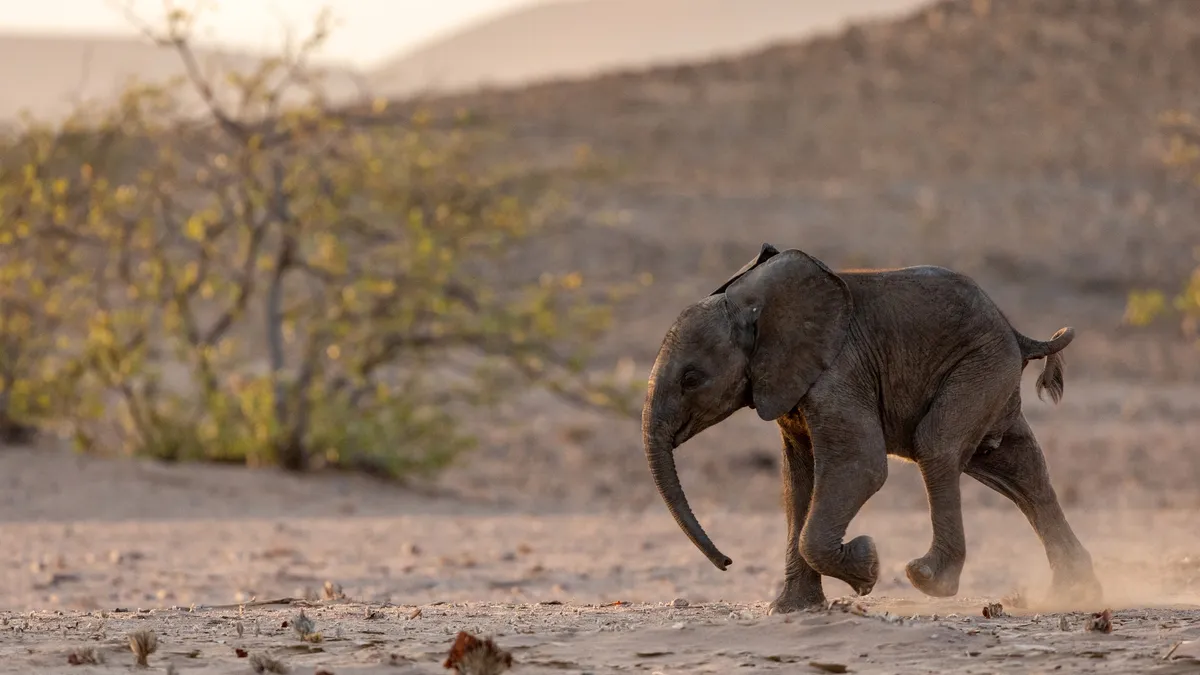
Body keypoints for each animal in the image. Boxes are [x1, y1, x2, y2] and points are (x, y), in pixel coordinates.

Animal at [641, 242, 1102, 614]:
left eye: (691, 379)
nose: (727, 562)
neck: (759, 307)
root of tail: (1019, 334)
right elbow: (797, 484)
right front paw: (791, 610)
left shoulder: (838, 374)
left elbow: (860, 466)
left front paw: (867, 567)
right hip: (992, 373)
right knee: (1021, 471)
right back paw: (1073, 595)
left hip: (980, 366)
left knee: (937, 445)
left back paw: (928, 578)